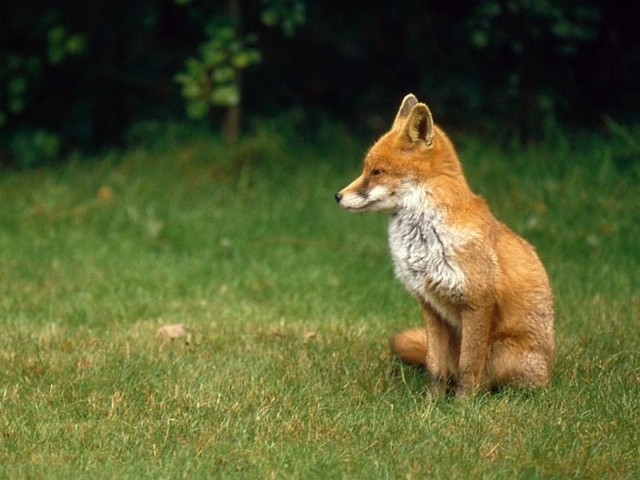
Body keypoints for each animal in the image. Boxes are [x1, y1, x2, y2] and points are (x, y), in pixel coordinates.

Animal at [336, 94, 556, 398]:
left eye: (377, 172)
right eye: (365, 169)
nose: (338, 196)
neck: (426, 238)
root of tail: (549, 369)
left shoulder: (478, 303)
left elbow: (468, 367)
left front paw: (463, 406)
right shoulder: (431, 306)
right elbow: (434, 366)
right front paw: (431, 403)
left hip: (503, 353)